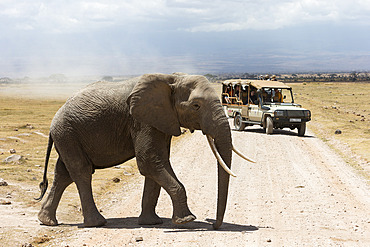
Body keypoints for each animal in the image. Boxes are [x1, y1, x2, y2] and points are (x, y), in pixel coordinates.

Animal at [36, 73, 253, 230]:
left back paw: (47, 221)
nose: (215, 225)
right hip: (67, 132)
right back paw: (97, 223)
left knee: (64, 174)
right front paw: (186, 220)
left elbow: (158, 163)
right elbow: (149, 161)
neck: (173, 78)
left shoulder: (162, 120)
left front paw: (152, 223)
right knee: (81, 171)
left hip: (68, 136)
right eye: (196, 106)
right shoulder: (141, 120)